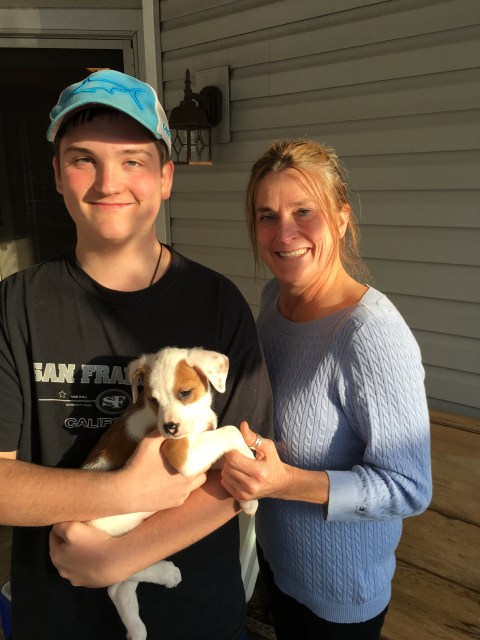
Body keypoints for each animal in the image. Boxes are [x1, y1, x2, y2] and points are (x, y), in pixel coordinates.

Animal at [82, 346, 258, 640]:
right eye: (153, 400)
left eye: (184, 393)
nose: (169, 428)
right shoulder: (183, 453)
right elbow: (231, 432)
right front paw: (248, 456)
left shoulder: (203, 450)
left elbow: (226, 453)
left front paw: (247, 497)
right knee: (116, 572)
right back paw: (167, 573)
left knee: (117, 587)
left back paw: (137, 630)